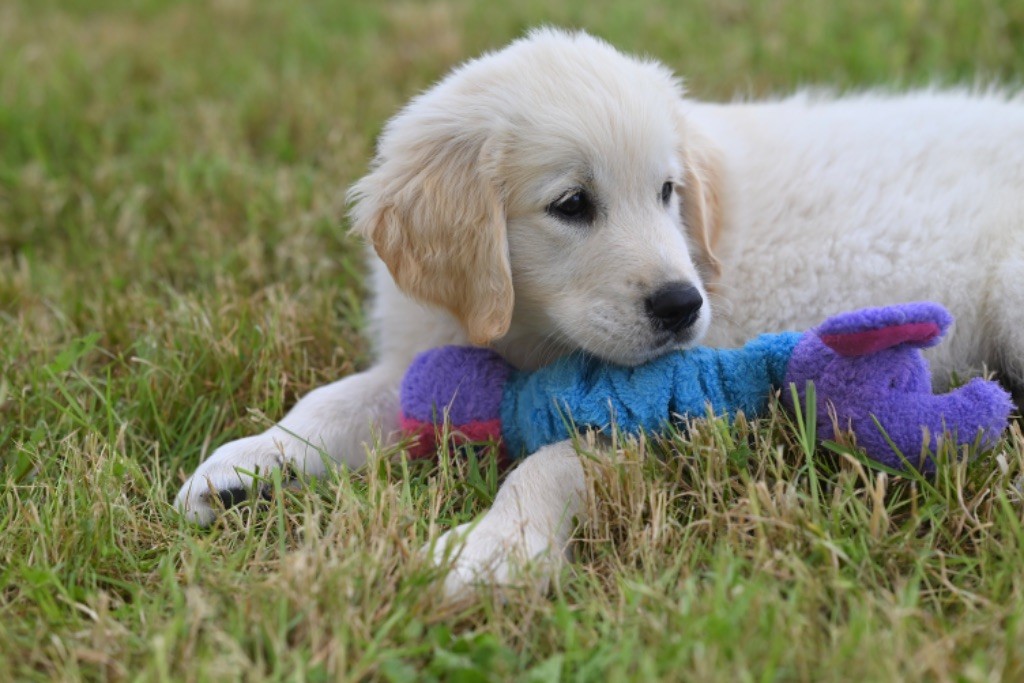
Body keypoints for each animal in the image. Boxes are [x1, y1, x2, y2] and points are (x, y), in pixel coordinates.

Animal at [178, 29, 1024, 598]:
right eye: (572, 204)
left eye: (668, 191)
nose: (685, 305)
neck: (526, 329)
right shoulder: (428, 348)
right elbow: (335, 401)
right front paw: (250, 464)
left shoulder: (658, 409)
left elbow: (550, 462)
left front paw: (493, 551)